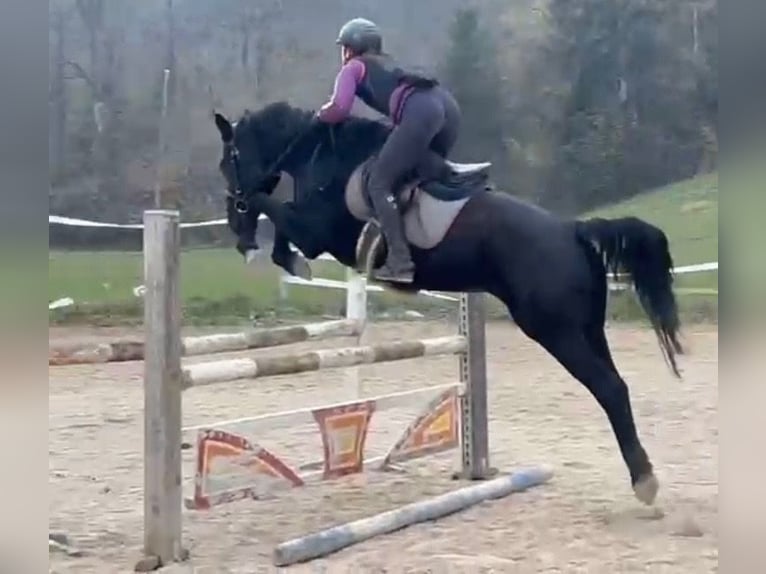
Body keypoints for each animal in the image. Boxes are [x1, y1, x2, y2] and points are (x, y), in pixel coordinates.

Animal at [214, 101, 684, 506]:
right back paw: (643, 474)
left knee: (608, 388)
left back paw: (644, 482)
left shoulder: (318, 233)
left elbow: (275, 210)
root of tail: (573, 231)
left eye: (227, 161)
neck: (323, 157)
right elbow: (279, 215)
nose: (236, 226)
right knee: (616, 386)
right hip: (588, 329)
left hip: (555, 331)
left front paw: (280, 254)